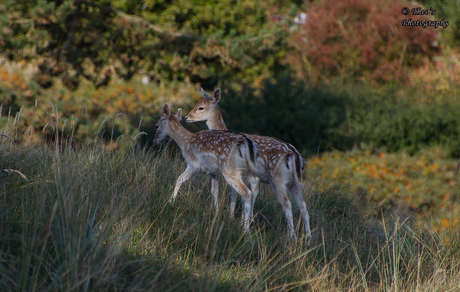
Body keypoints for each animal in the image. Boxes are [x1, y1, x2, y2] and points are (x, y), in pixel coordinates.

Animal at [154, 104, 258, 232]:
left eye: (157, 125)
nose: (154, 140)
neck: (185, 142)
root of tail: (247, 144)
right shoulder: (213, 172)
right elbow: (215, 191)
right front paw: (216, 212)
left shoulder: (193, 165)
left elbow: (179, 178)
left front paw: (170, 202)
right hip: (248, 171)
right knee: (253, 188)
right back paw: (249, 223)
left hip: (230, 170)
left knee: (246, 193)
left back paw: (245, 230)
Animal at [185, 88, 310, 240]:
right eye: (197, 103)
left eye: (201, 107)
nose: (186, 117)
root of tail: (296, 156)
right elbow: (248, 194)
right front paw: (246, 221)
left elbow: (237, 193)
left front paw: (236, 219)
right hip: (295, 182)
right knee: (303, 206)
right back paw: (308, 238)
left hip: (277, 179)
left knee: (287, 204)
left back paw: (291, 237)